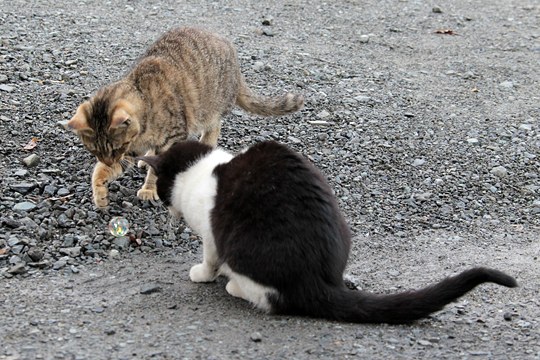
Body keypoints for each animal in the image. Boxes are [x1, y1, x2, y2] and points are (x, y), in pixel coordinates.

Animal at [63, 26, 304, 208]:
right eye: (95, 151)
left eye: (114, 149)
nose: (109, 159)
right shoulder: (130, 150)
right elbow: (101, 171)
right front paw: (99, 192)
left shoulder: (172, 137)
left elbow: (156, 171)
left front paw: (149, 189)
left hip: (210, 108)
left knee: (214, 127)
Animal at [137, 140, 516, 324]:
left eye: (162, 187)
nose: (165, 208)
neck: (203, 170)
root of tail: (318, 281)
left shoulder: (212, 235)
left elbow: (210, 257)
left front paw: (202, 273)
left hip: (244, 248)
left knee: (270, 298)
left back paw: (236, 287)